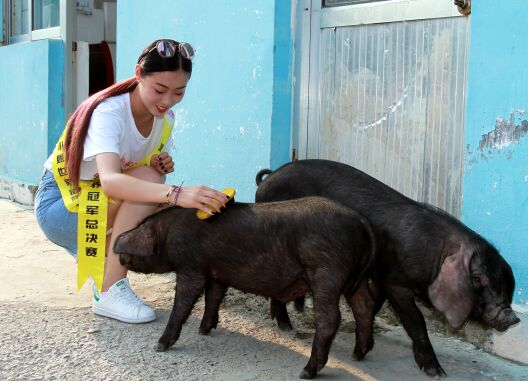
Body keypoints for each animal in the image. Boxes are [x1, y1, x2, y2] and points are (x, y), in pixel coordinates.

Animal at [113, 196, 376, 378]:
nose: (118, 250)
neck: (168, 234)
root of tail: (361, 221)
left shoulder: (192, 267)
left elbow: (183, 304)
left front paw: (159, 346)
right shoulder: (216, 273)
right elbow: (213, 298)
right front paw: (204, 330)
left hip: (326, 270)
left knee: (330, 318)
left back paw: (306, 372)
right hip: (354, 279)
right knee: (364, 306)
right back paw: (358, 354)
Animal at [256, 158, 520, 378]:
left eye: (506, 284)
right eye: (478, 279)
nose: (512, 317)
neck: (434, 257)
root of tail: (268, 180)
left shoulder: (381, 275)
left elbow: (373, 304)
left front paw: (362, 347)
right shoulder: (394, 281)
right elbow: (415, 321)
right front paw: (436, 372)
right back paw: (285, 326)